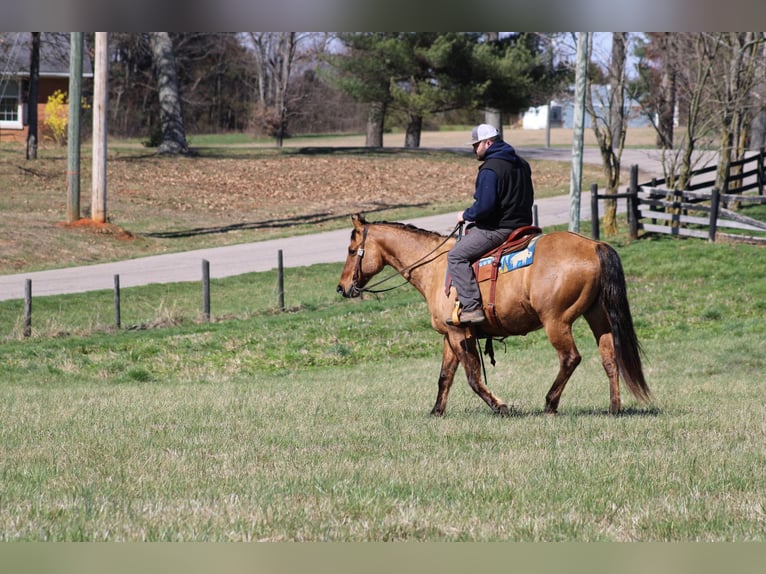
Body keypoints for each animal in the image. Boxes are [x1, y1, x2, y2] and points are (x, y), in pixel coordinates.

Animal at [336, 214, 656, 416]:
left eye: (352, 250)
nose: (342, 288)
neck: (436, 267)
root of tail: (594, 245)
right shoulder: (449, 335)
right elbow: (445, 376)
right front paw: (436, 411)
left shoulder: (459, 333)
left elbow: (473, 378)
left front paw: (500, 406)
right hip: (597, 316)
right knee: (610, 358)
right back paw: (614, 407)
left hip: (557, 321)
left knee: (570, 358)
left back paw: (550, 403)